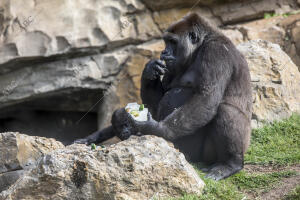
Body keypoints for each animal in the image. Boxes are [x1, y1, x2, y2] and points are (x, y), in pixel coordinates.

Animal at [74, 12, 251, 181]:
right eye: (166, 42)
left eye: (173, 42)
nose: (164, 51)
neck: (201, 45)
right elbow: (157, 101)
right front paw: (148, 71)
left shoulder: (216, 51)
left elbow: (207, 97)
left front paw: (156, 128)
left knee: (225, 110)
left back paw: (230, 163)